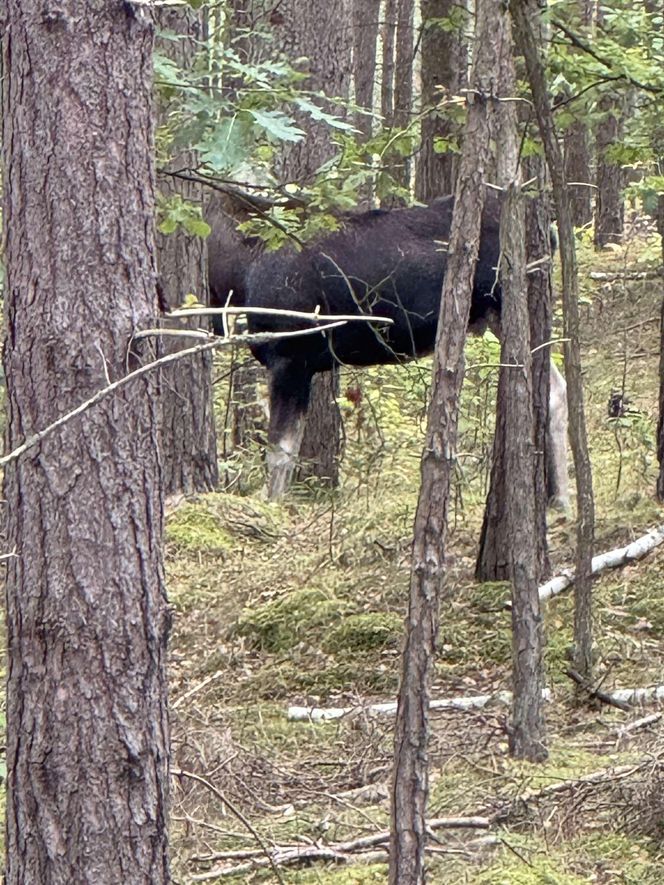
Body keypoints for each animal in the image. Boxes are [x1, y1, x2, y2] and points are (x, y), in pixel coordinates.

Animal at [209, 189, 572, 500]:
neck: (237, 272)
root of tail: (551, 235)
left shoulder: (290, 355)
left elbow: (280, 451)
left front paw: (271, 508)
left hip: (505, 302)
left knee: (551, 386)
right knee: (556, 386)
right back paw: (559, 500)